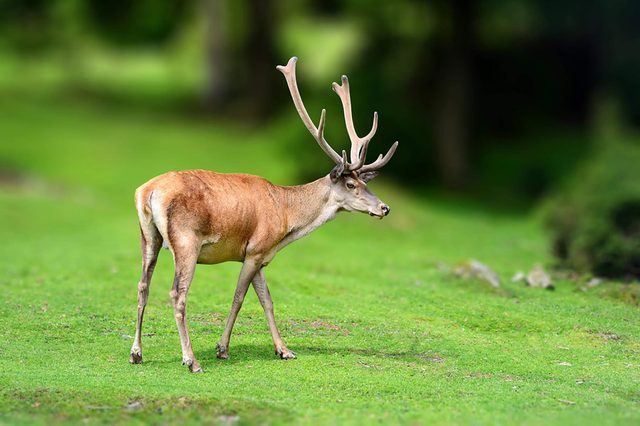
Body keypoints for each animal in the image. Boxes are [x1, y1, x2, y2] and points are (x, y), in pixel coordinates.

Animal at [129, 57, 398, 373]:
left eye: (367, 183)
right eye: (351, 184)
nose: (384, 208)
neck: (287, 220)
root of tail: (148, 192)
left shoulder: (260, 255)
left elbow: (267, 299)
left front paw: (284, 350)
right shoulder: (257, 248)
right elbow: (238, 297)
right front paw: (222, 349)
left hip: (148, 235)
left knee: (143, 285)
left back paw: (136, 353)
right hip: (186, 241)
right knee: (177, 293)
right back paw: (191, 360)